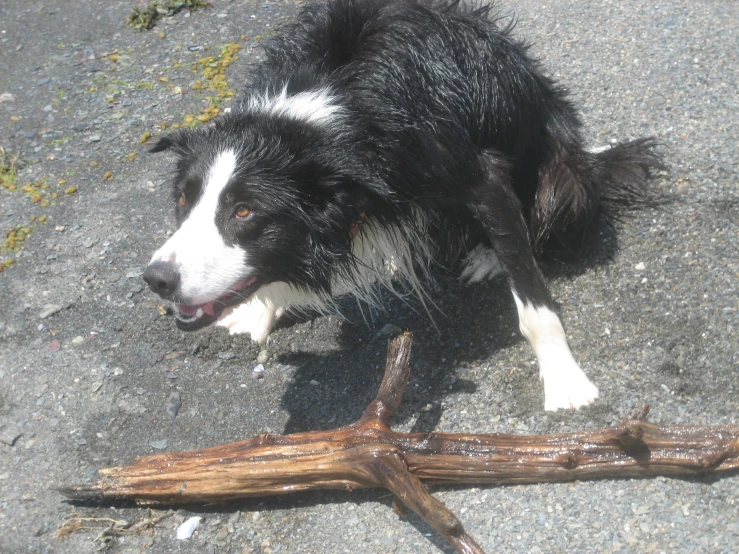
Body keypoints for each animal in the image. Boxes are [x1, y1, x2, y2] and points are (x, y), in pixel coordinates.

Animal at [143, 0, 664, 410]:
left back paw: (487, 256)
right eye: (183, 199)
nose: (156, 280)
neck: (333, 111)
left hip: (562, 178)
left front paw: (564, 380)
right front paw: (257, 309)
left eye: (244, 212)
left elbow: (534, 302)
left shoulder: (481, 173)